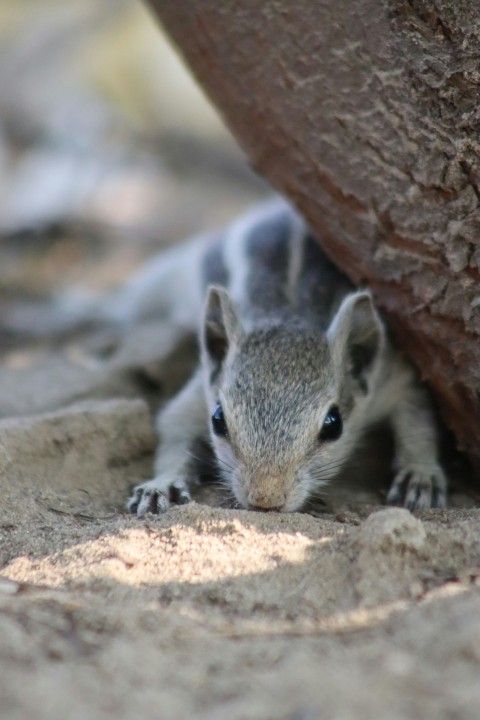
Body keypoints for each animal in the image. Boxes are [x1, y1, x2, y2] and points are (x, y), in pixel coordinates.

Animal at [125, 198, 447, 516]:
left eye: (334, 425)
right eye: (217, 419)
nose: (265, 499)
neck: (291, 314)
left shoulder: (389, 378)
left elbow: (417, 416)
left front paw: (419, 474)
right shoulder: (201, 389)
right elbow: (174, 423)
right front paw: (162, 483)